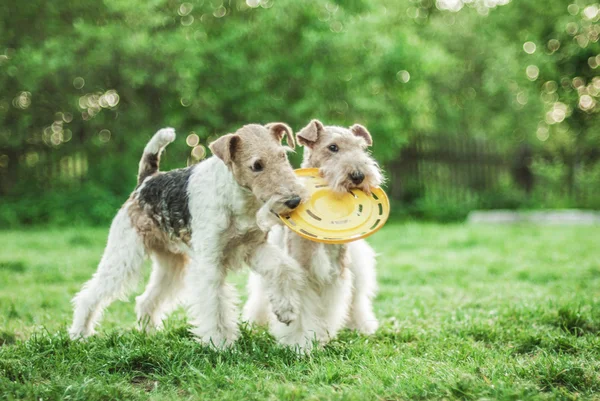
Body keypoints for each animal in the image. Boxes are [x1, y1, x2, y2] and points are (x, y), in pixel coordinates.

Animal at [67, 122, 308, 346]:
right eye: (257, 165)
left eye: (282, 156)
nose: (294, 200)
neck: (237, 197)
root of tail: (146, 180)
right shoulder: (210, 263)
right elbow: (215, 306)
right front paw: (220, 344)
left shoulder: (254, 247)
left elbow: (282, 268)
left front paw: (286, 310)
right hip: (123, 256)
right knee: (89, 296)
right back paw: (79, 334)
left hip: (171, 265)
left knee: (146, 300)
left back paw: (148, 334)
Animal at [245, 119, 382, 350]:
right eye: (333, 147)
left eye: (362, 148)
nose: (358, 176)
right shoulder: (303, 272)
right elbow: (302, 313)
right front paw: (300, 343)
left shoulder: (335, 274)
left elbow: (328, 309)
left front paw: (322, 336)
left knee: (357, 300)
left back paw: (362, 326)